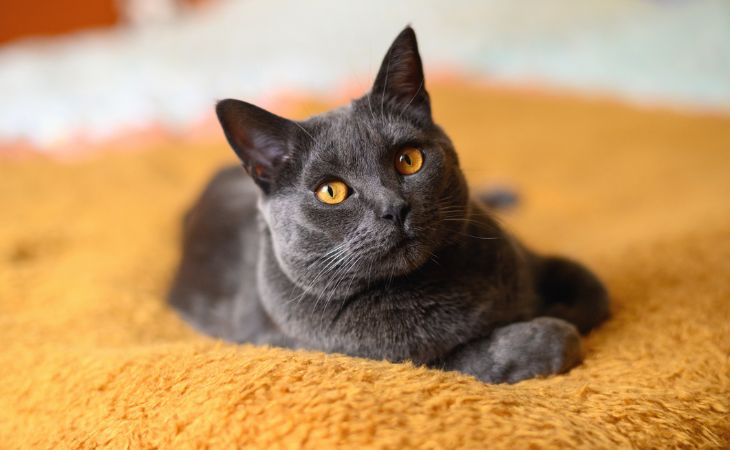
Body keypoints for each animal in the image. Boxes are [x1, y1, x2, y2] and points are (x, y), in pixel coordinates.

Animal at [168, 26, 604, 384]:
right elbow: (537, 340)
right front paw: (550, 323)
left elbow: (590, 286)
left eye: (408, 159)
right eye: (331, 192)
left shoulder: (531, 257)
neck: (435, 279)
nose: (394, 208)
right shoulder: (409, 361)